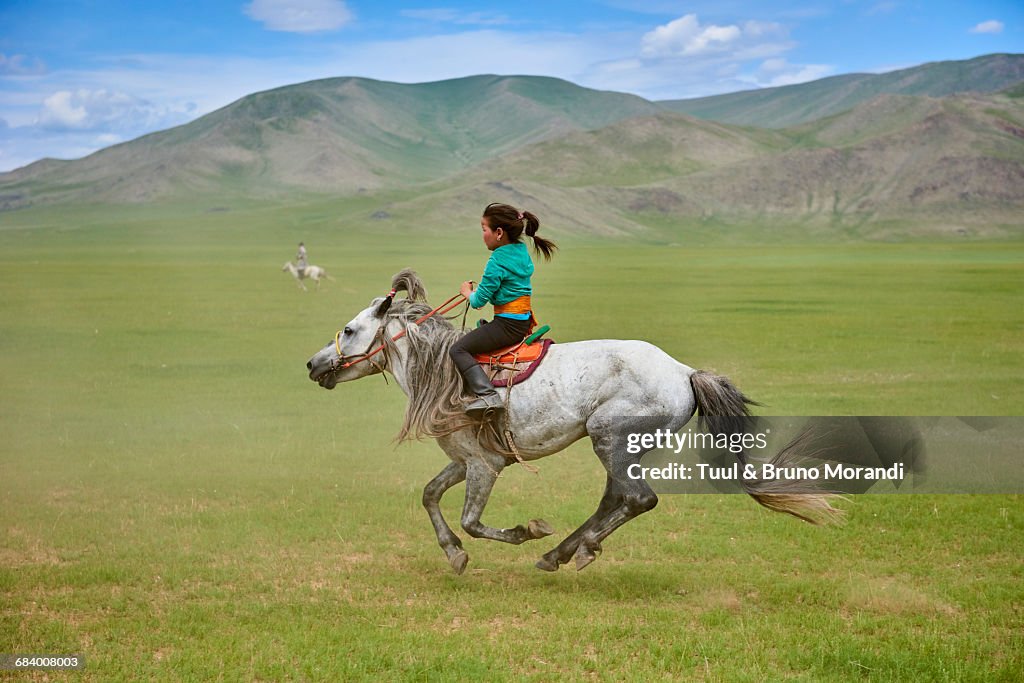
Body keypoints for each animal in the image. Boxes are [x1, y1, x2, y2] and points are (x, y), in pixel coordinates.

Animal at [305, 270, 839, 573]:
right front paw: (453, 554)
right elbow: (430, 495)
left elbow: (472, 521)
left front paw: (526, 531)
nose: (312, 364)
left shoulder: (485, 466)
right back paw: (563, 553)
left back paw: (567, 550)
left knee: (637, 499)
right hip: (622, 447)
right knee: (616, 499)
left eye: (349, 330)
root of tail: (684, 372)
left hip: (610, 438)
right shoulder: (467, 460)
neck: (441, 371)